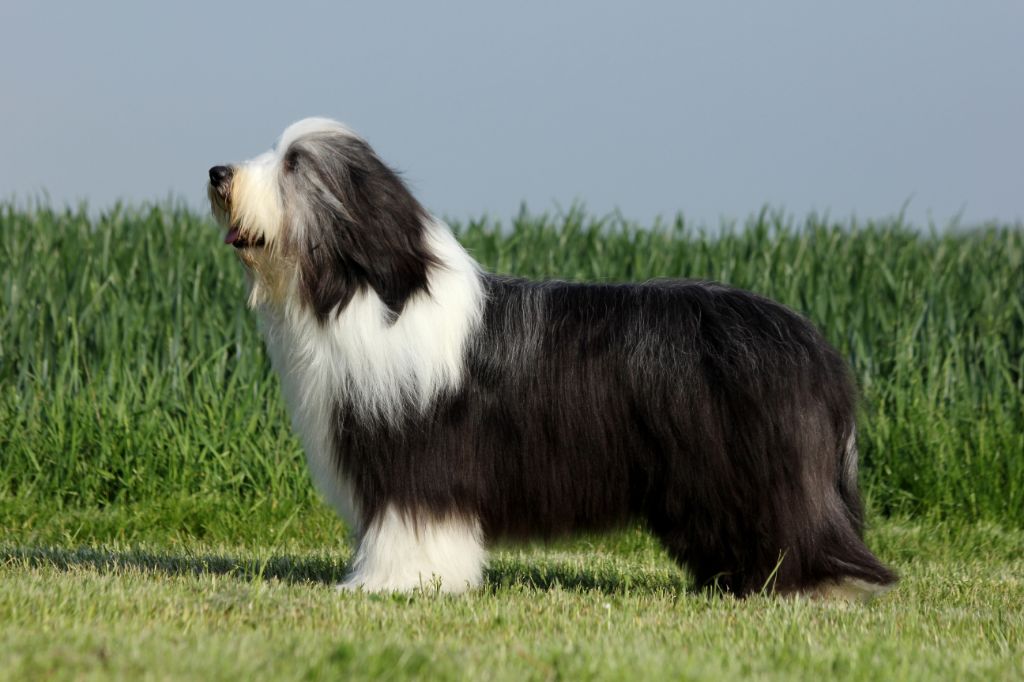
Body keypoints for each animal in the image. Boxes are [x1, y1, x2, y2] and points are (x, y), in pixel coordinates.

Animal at [208, 117, 896, 598]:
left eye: (294, 166)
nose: (217, 173)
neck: (368, 294)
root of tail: (813, 344)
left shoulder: (418, 461)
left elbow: (414, 523)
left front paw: (395, 583)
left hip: (763, 471)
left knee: (800, 524)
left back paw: (822, 584)